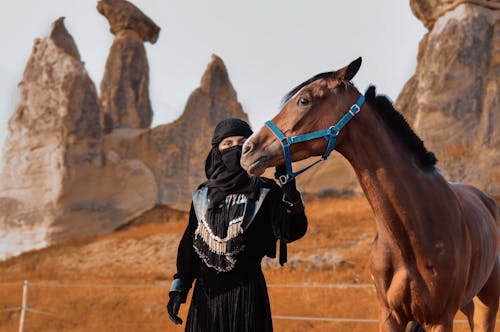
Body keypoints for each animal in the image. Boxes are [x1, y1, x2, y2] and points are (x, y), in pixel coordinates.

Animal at [240, 58, 498, 330]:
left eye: (304, 100)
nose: (248, 149)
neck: (412, 234)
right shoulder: (389, 316)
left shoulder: (439, 319)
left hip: (486, 304)